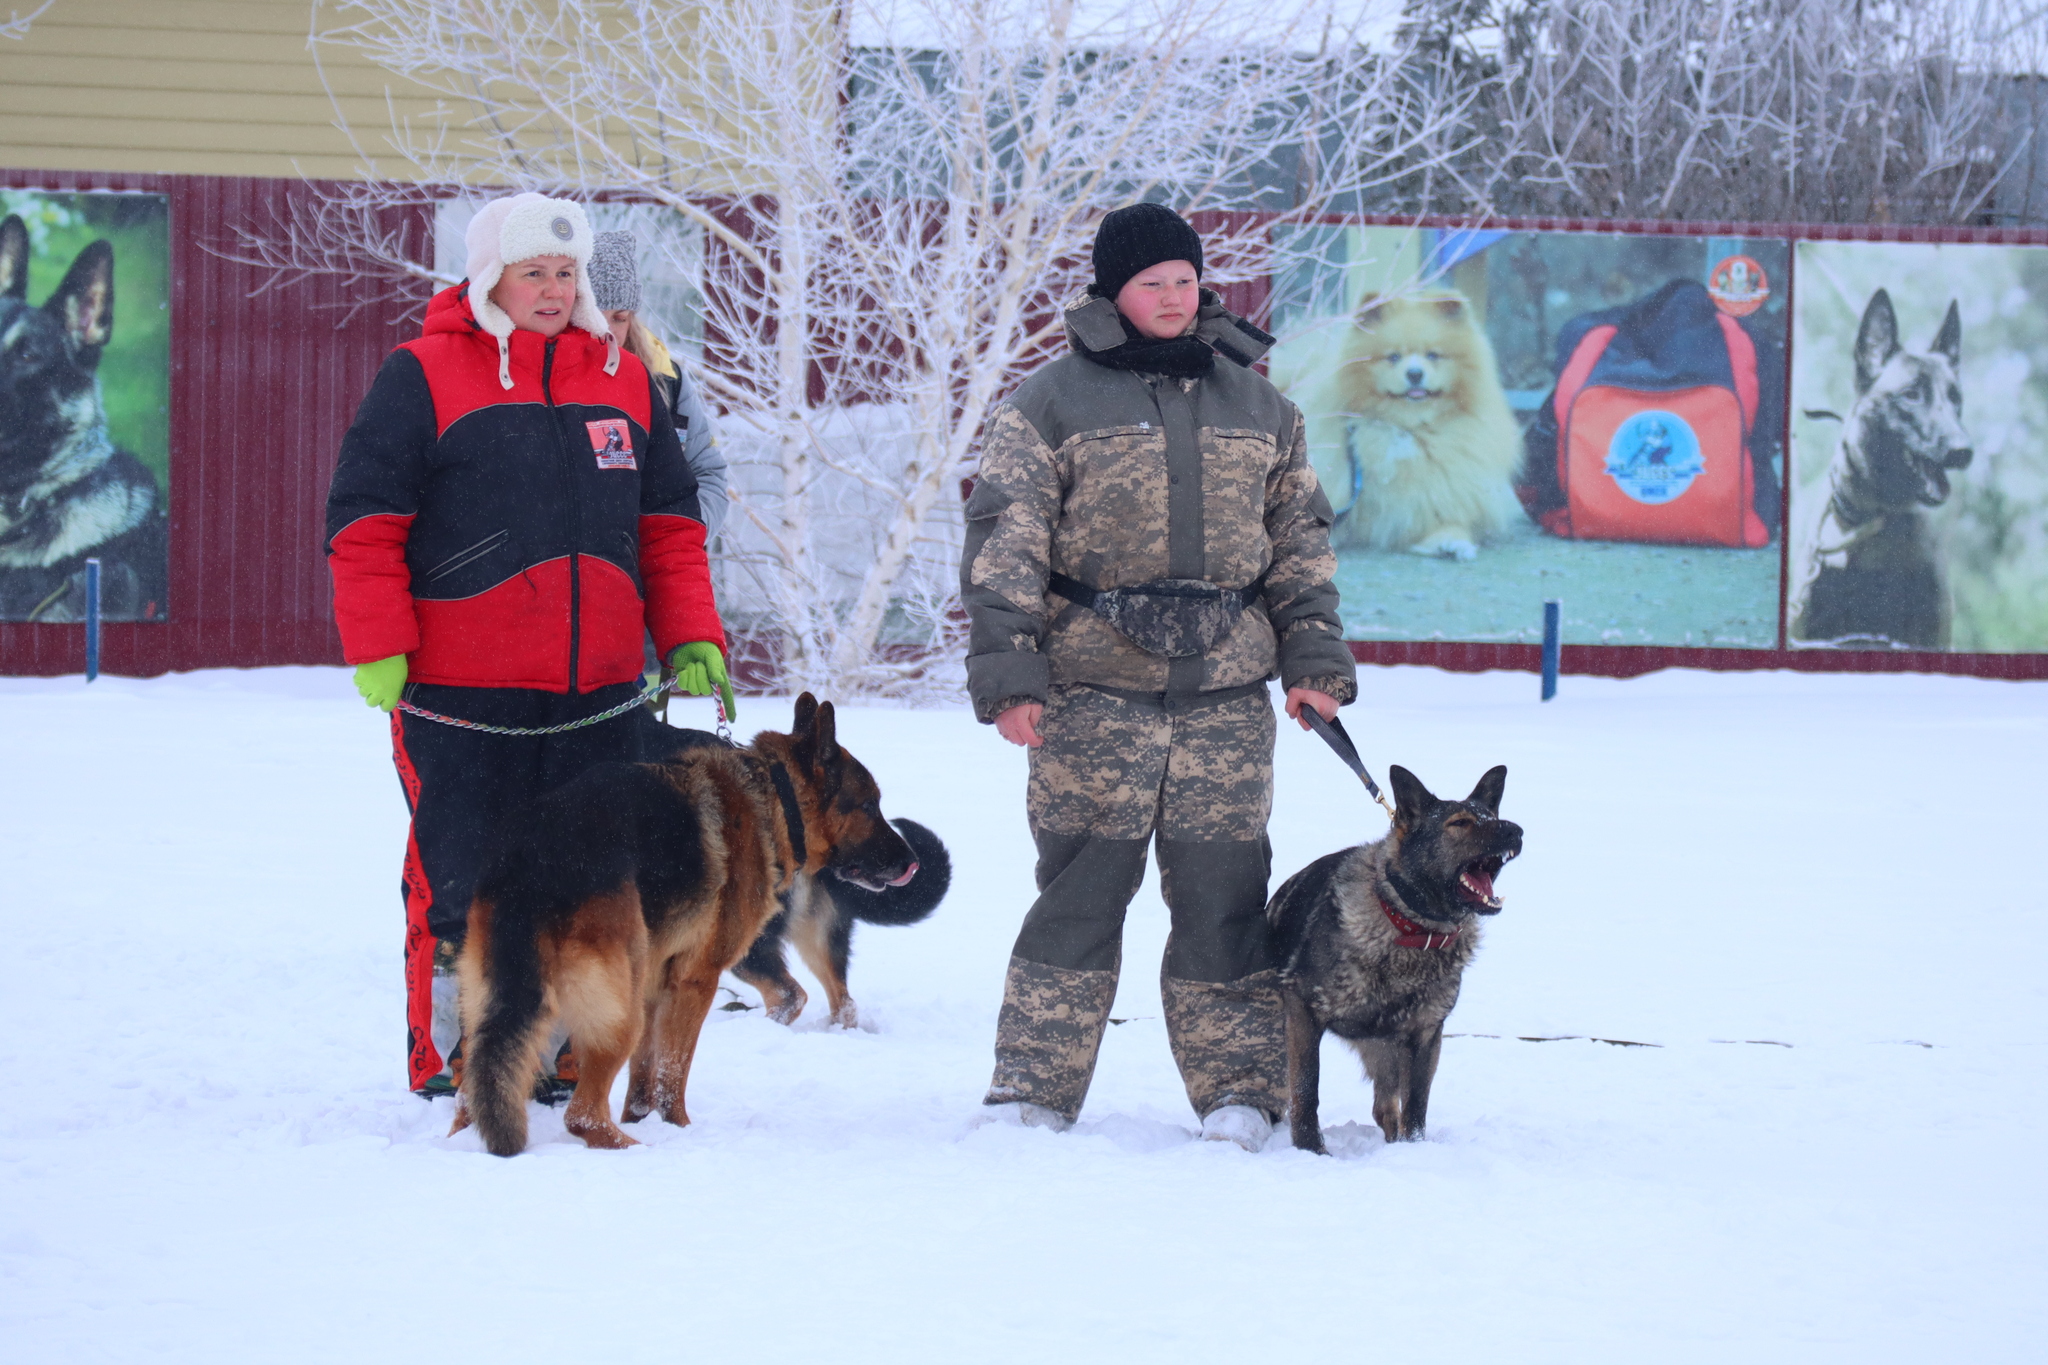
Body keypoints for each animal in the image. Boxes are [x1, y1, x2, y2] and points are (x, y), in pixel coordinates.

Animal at [1302, 294, 1531, 560]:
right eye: (1393, 357)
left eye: (1432, 355)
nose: (1414, 373)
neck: (1407, 428)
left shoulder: (1436, 495)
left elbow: (1444, 522)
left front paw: (1452, 542)